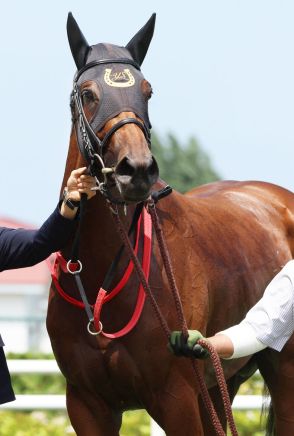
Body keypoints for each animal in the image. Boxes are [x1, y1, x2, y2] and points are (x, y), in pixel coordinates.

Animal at [47, 11, 294, 434]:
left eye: (147, 91)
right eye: (88, 93)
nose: (136, 170)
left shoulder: (176, 400)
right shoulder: (86, 404)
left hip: (282, 372)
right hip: (220, 382)